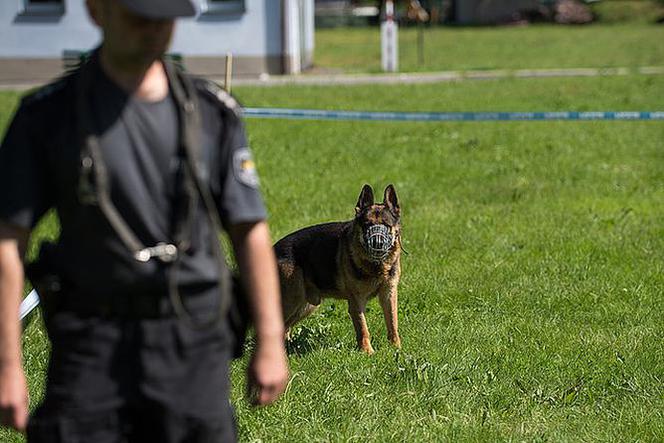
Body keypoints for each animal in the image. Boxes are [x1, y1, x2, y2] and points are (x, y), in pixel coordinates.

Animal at [274, 184, 402, 354]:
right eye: (367, 225)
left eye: (386, 226)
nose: (377, 243)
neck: (376, 266)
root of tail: (272, 250)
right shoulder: (356, 301)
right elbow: (363, 328)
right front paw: (367, 352)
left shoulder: (389, 295)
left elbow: (393, 323)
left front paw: (396, 348)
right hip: (292, 301)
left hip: (305, 305)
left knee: (284, 328)